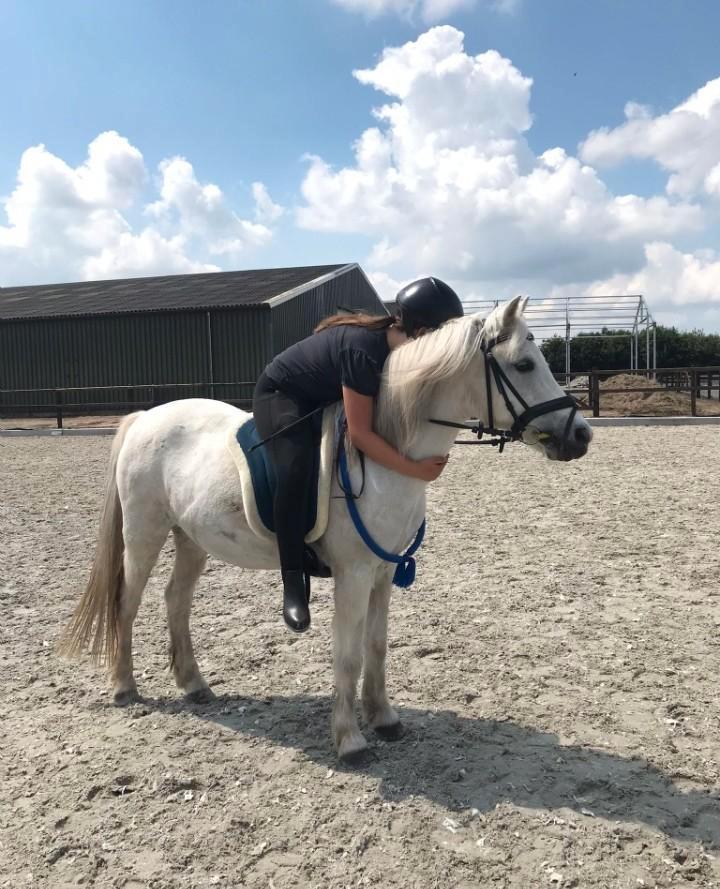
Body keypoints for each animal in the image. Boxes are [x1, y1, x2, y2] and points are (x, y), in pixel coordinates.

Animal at [60, 296, 592, 761]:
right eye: (524, 364)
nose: (581, 435)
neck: (388, 455)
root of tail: (144, 417)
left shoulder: (383, 572)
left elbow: (377, 646)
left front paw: (384, 718)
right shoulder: (353, 575)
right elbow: (348, 654)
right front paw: (350, 740)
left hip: (191, 538)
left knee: (176, 600)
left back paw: (194, 684)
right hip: (144, 535)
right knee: (127, 602)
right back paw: (124, 687)